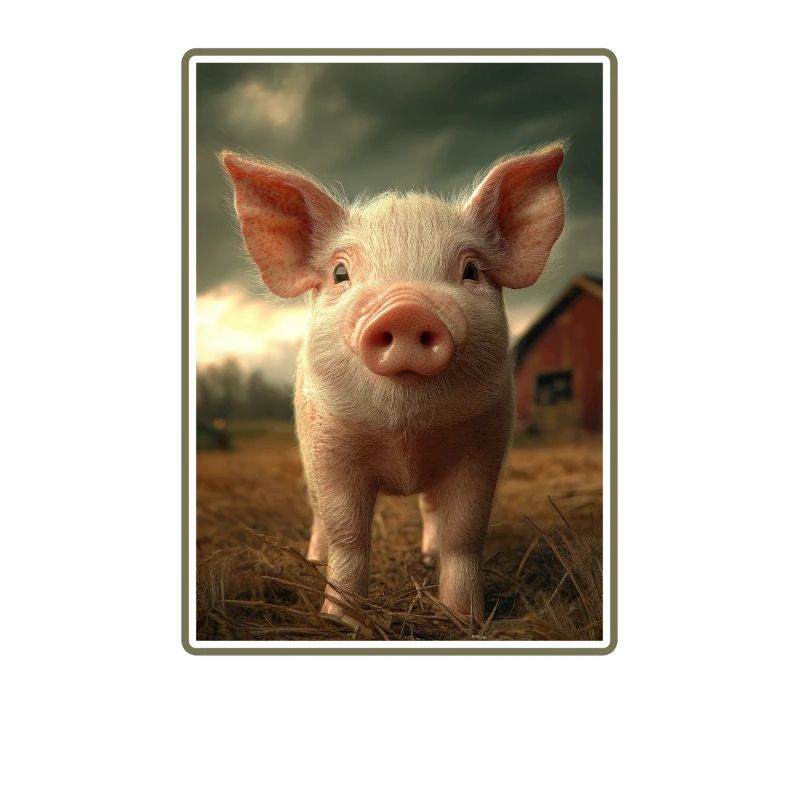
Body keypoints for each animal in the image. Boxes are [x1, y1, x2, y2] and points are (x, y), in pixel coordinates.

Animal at [222, 144, 565, 629]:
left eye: (471, 270)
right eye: (340, 273)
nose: (406, 308)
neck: (405, 434)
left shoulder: (482, 443)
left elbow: (464, 532)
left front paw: (464, 619)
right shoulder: (330, 446)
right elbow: (347, 533)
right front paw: (341, 622)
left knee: (431, 511)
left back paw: (427, 557)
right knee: (318, 515)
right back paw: (314, 559)